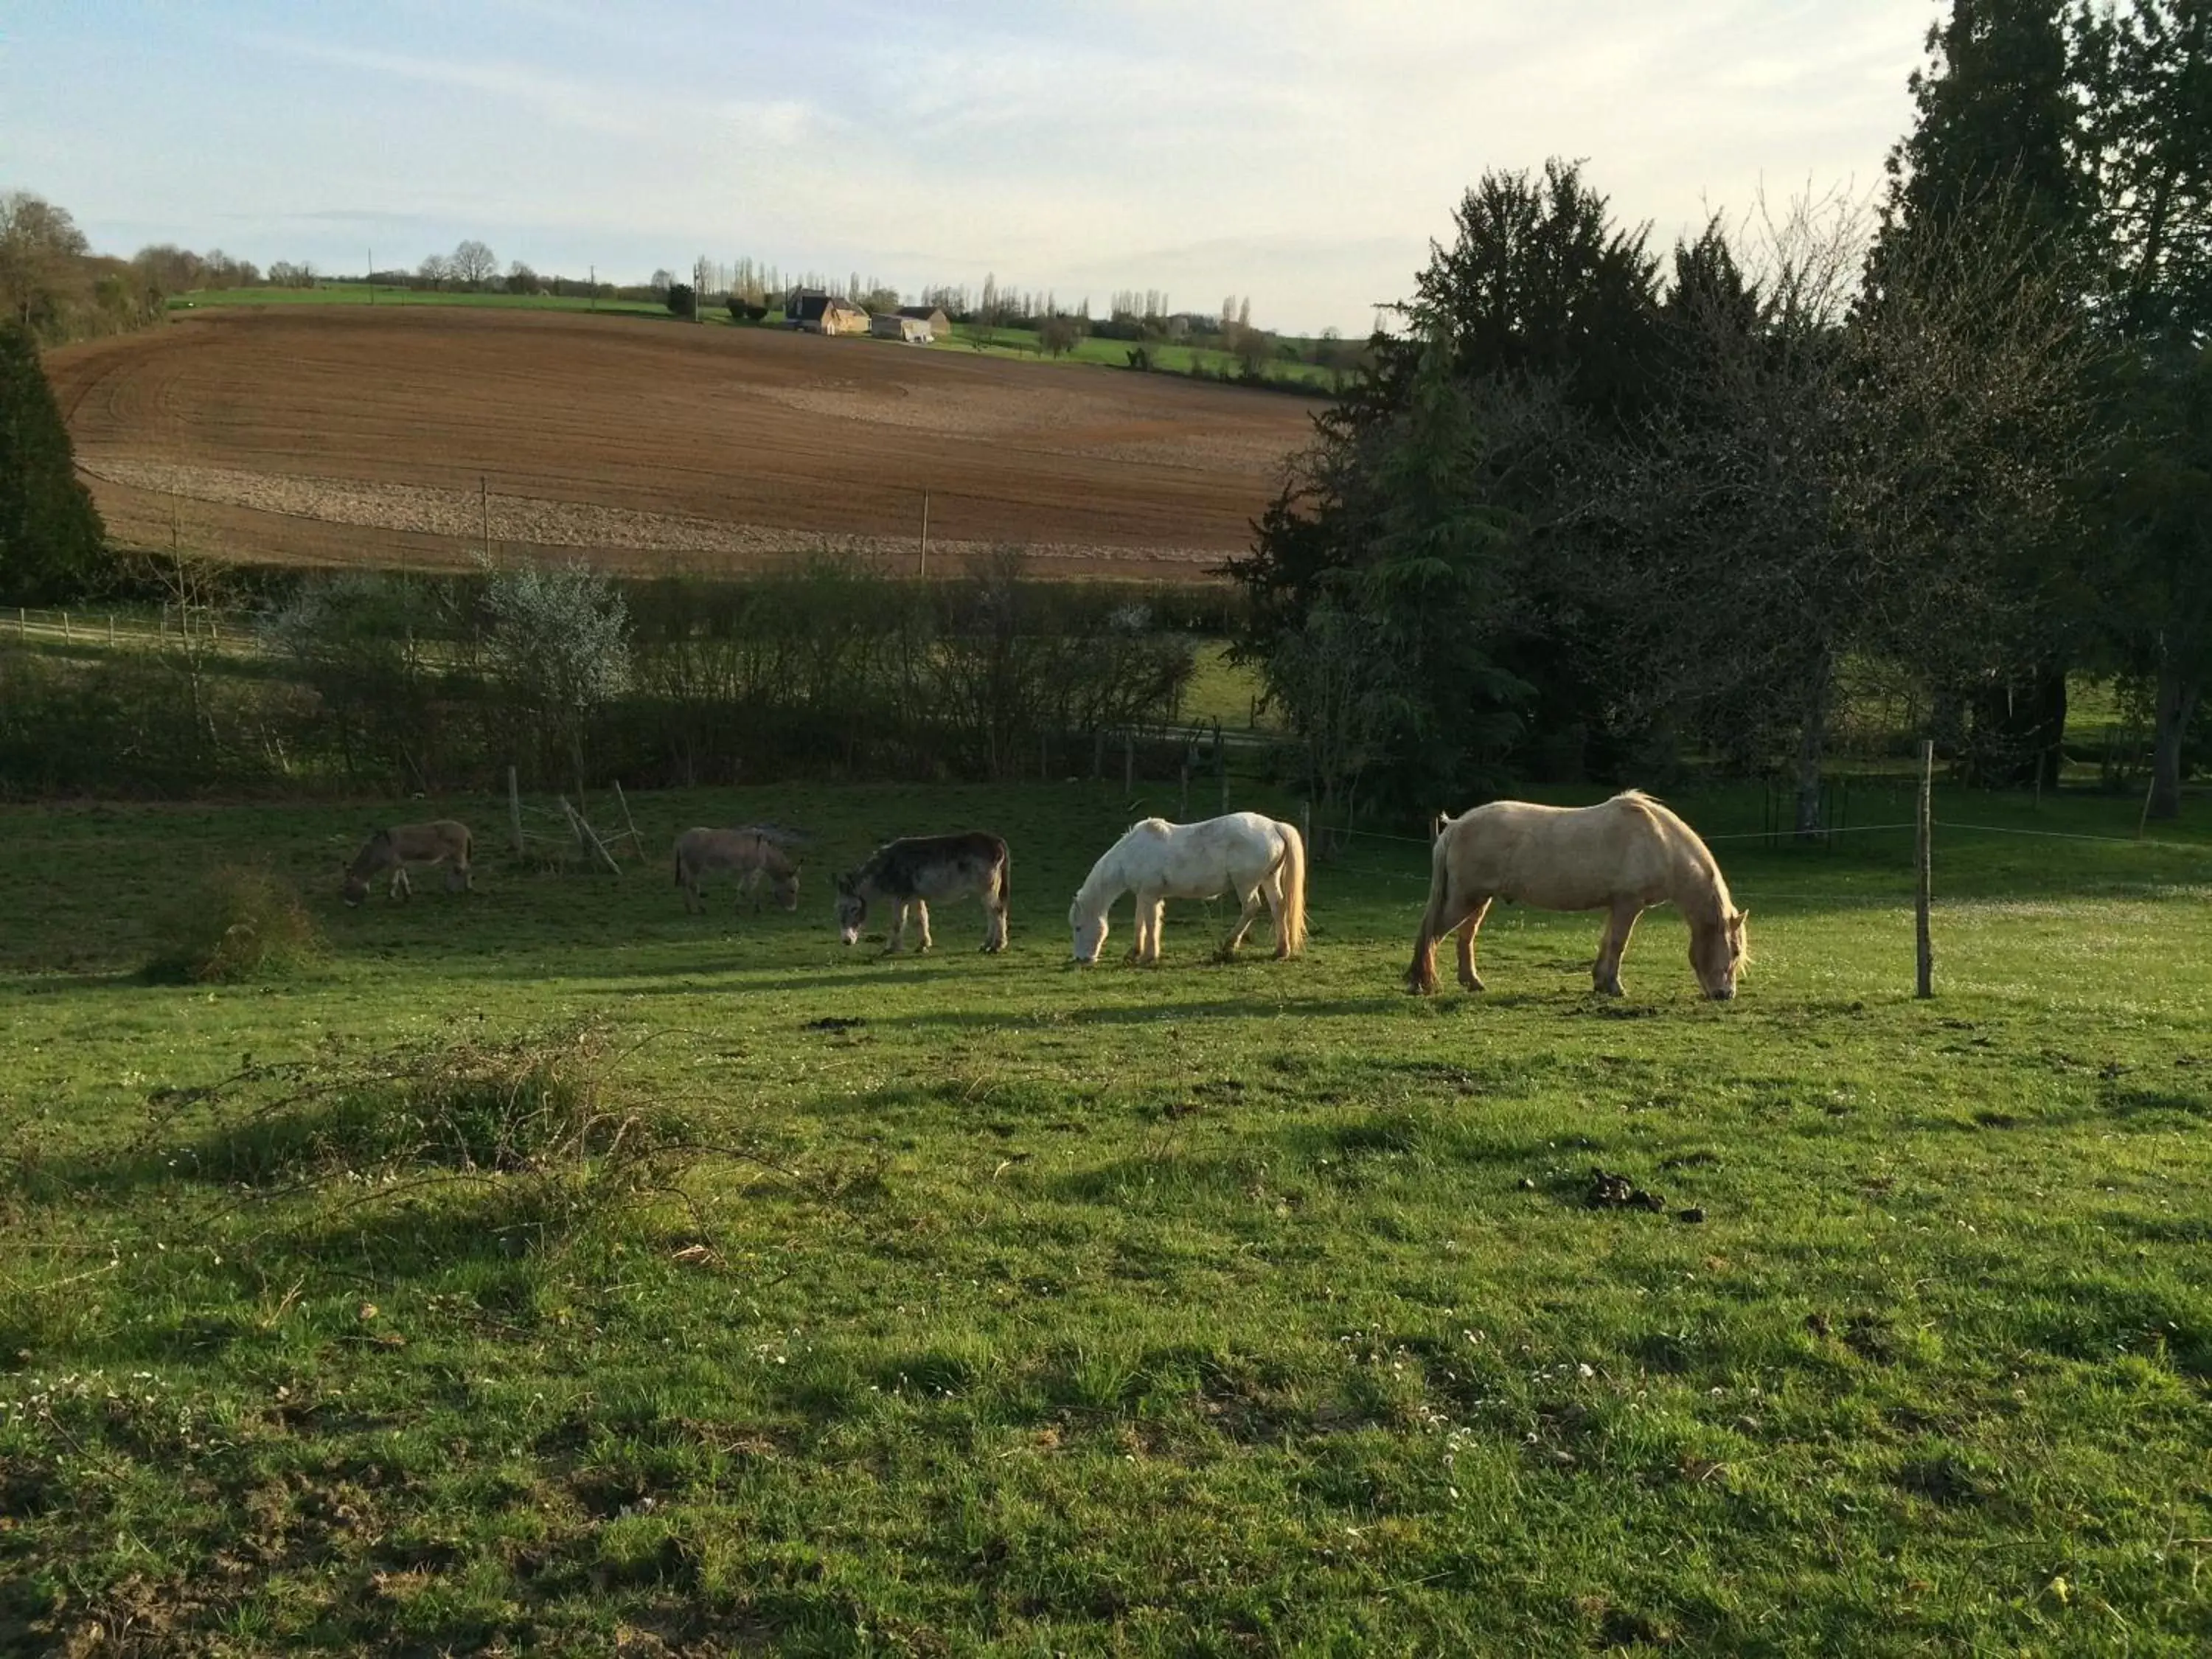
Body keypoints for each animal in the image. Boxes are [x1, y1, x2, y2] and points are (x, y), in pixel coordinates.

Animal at [343, 823, 473, 911]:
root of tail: (466, 829)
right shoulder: (400, 864)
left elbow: (392, 882)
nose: (349, 906)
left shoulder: (393, 864)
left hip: (458, 854)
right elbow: (403, 880)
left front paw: (389, 898)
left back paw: (465, 889)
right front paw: (407, 896)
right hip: (453, 856)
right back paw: (451, 890)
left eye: (348, 887)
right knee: (458, 870)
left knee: (464, 870)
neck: (379, 849)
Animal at [681, 832, 814, 925]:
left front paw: (754, 907)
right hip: (695, 867)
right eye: (792, 891)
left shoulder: (751, 871)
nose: (792, 910)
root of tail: (684, 837)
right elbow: (746, 889)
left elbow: (749, 889)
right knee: (693, 886)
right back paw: (701, 909)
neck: (765, 854)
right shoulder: (752, 871)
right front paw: (741, 909)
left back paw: (689, 908)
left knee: (686, 885)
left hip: (690, 868)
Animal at [836, 836, 1013, 956]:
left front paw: (891, 948)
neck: (886, 867)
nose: (846, 941)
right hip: (986, 890)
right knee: (992, 914)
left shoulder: (900, 897)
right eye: (837, 910)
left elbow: (898, 922)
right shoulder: (915, 897)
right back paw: (986, 945)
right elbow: (920, 919)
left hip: (987, 888)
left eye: (854, 909)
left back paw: (997, 945)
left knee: (997, 911)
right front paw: (923, 945)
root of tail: (996, 840)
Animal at [1066, 814, 1301, 969]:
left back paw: (1228, 945)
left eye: (1078, 928)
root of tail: (1274, 826)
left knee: (1251, 908)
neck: (1132, 853)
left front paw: (1149, 956)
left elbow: (1150, 924)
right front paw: (1134, 953)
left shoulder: (1150, 895)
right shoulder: (1145, 895)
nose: (1081, 959)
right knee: (1278, 908)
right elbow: (1140, 923)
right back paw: (1281, 950)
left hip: (1247, 884)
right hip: (1269, 879)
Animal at [1407, 792, 1752, 1000]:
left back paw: (1472, 983)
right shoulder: (1629, 904)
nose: (1725, 995)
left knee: (1465, 938)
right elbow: (1618, 944)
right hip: (1465, 900)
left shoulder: (1617, 905)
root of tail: (1455, 826)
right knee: (1433, 935)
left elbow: (1607, 942)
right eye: (1735, 951)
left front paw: (1601, 982)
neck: (1660, 842)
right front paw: (1614, 987)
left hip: (1478, 901)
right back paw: (1421, 983)